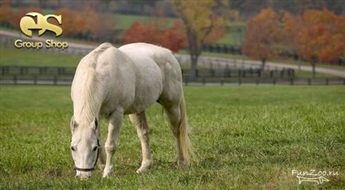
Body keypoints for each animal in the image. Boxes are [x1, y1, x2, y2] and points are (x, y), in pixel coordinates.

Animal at [70, 42, 194, 179]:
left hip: (172, 106)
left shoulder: (116, 114)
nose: (82, 176)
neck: (99, 72)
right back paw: (145, 166)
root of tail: (168, 53)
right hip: (137, 110)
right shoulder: (96, 116)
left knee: (177, 131)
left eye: (93, 148)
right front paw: (102, 167)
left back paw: (181, 162)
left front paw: (107, 172)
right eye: (72, 148)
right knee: (144, 134)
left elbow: (110, 145)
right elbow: (101, 141)